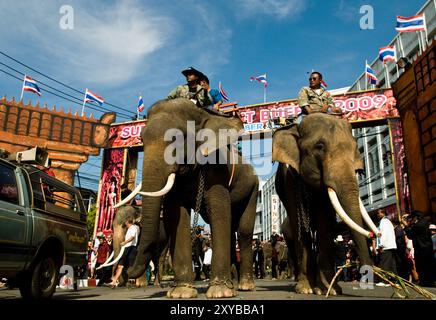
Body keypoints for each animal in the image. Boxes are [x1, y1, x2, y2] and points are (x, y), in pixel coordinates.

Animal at [116, 99, 258, 298]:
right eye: (141, 140)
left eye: (176, 138)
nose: (128, 272)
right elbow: (177, 215)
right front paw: (180, 293)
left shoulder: (217, 170)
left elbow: (219, 213)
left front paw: (220, 292)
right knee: (231, 230)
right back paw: (233, 284)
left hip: (253, 188)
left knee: (244, 232)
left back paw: (244, 286)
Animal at [272, 114, 378, 296]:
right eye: (319, 146)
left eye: (355, 148)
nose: (373, 235)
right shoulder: (289, 179)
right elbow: (300, 226)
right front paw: (306, 289)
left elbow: (325, 223)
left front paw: (330, 290)